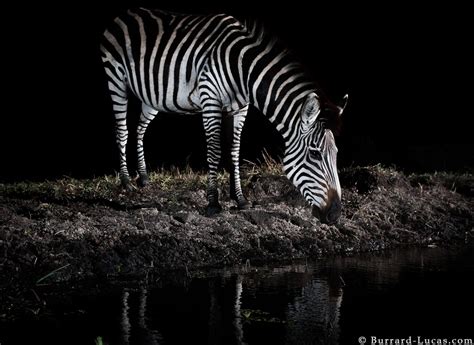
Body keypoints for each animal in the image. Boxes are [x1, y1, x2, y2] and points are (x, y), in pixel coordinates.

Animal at [100, 8, 346, 223]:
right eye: (314, 154)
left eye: (336, 153)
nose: (335, 215)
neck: (244, 72)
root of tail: (127, 12)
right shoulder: (210, 100)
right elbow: (215, 151)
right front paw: (213, 202)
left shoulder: (241, 108)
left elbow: (234, 152)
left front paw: (240, 198)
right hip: (116, 79)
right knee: (123, 130)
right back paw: (126, 182)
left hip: (154, 95)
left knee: (140, 128)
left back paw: (143, 177)